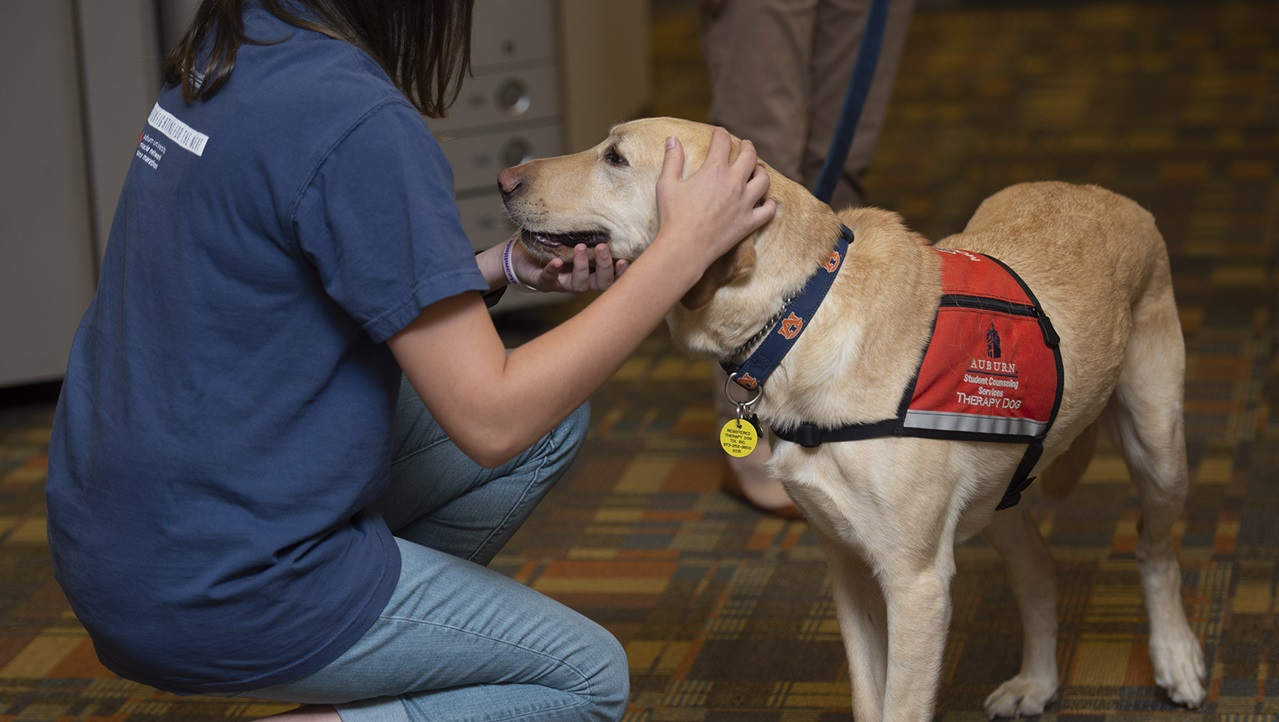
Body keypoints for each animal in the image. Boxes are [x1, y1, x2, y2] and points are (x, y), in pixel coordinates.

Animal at [493, 116, 1202, 715]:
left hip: (1158, 448)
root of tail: (1102, 191)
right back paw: (1038, 681)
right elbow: (869, 698)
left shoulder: (916, 584)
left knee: (1154, 548)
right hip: (999, 497)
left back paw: (1176, 658)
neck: (799, 315)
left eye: (615, 157)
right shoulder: (849, 566)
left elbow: (902, 705)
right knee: (1040, 574)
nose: (503, 181)